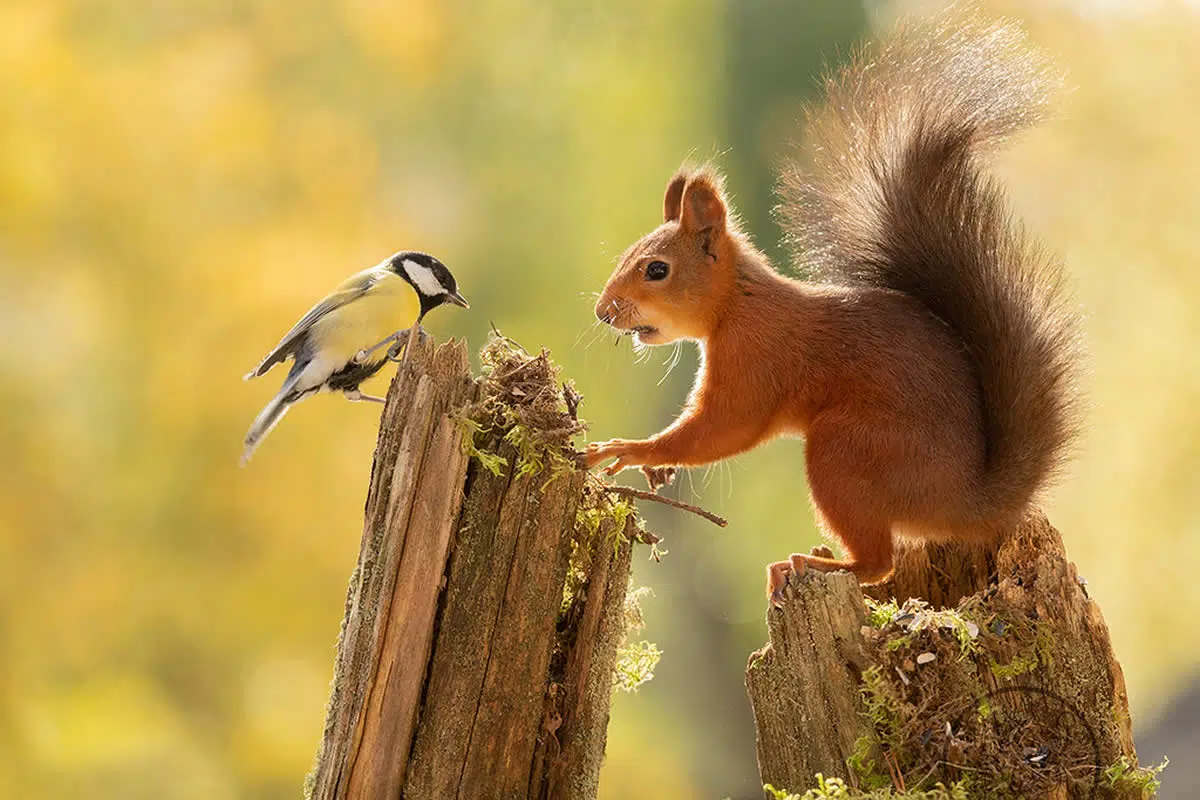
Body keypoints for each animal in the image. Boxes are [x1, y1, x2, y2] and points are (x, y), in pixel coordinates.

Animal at [584, 11, 1081, 603]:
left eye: (656, 270)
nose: (604, 311)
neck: (738, 304)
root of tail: (967, 504)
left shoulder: (755, 360)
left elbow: (726, 428)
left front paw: (631, 450)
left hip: (845, 451)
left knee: (880, 563)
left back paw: (818, 565)